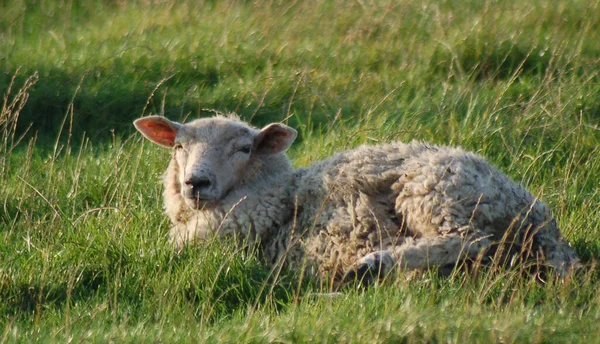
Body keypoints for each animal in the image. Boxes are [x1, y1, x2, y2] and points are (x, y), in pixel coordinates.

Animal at [135, 114, 576, 284]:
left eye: (244, 149)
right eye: (178, 146)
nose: (196, 182)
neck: (279, 193)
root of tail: (541, 218)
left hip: (435, 190)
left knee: (469, 239)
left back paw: (374, 263)